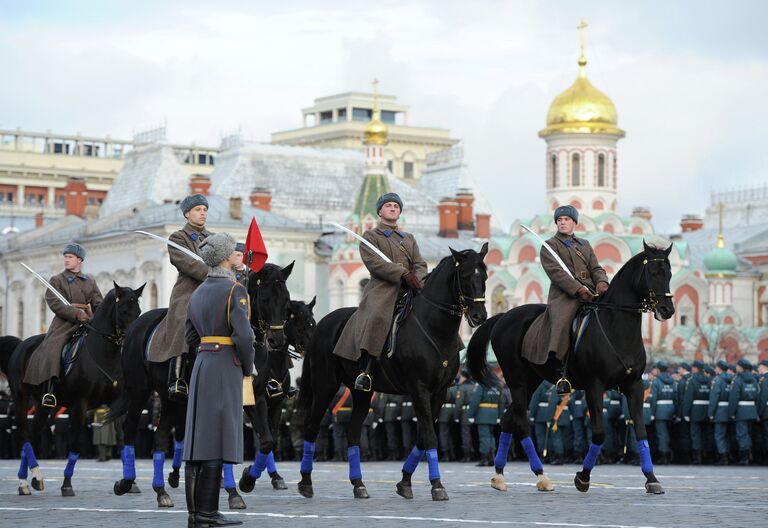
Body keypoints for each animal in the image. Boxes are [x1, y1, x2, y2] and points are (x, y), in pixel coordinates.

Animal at [7, 282, 144, 498]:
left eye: (138, 311)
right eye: (123, 310)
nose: (133, 340)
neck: (104, 354)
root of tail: (21, 345)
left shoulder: (116, 404)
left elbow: (123, 439)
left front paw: (129, 483)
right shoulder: (80, 405)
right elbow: (76, 443)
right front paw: (66, 484)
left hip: (43, 405)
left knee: (33, 433)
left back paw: (33, 479)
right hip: (21, 398)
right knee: (24, 434)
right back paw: (26, 480)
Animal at [111, 262, 294, 508]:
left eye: (286, 300)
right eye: (264, 299)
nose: (277, 340)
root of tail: (135, 327)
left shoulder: (257, 397)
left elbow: (266, 442)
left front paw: (246, 481)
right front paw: (232, 490)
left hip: (170, 400)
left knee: (160, 437)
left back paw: (161, 491)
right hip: (139, 392)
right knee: (129, 430)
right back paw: (126, 483)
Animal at [236, 300, 316, 502]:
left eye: (313, 322)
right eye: (301, 323)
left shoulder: (277, 404)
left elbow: (270, 437)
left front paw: (274, 476)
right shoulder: (257, 403)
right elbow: (266, 440)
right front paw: (248, 475)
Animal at [296, 245, 488, 502]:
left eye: (484, 276)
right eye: (466, 277)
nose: (480, 316)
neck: (434, 330)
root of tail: (322, 324)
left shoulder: (439, 392)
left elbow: (423, 436)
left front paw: (405, 481)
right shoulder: (419, 390)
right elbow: (429, 436)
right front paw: (436, 485)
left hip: (361, 393)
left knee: (352, 431)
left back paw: (358, 484)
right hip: (325, 386)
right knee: (311, 427)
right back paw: (306, 482)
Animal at [464, 242, 676, 496]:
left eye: (669, 274)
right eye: (653, 273)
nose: (667, 309)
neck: (616, 327)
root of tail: (504, 315)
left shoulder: (635, 386)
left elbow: (642, 432)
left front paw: (651, 478)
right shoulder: (594, 387)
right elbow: (599, 433)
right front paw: (583, 477)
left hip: (531, 382)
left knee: (508, 420)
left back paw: (499, 475)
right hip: (517, 380)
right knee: (521, 424)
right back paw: (541, 476)